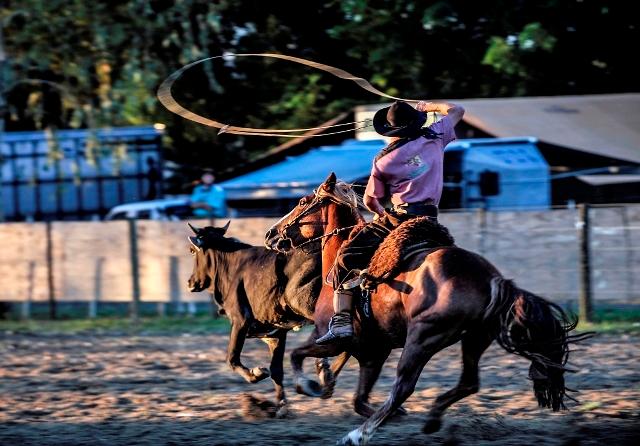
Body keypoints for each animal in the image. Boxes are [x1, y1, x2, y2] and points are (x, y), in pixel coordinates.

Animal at [262, 173, 588, 446]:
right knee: (468, 382)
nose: (270, 234)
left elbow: (297, 355)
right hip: (474, 339)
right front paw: (326, 381)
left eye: (302, 202)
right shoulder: (372, 353)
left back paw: (358, 435)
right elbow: (357, 397)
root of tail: (491, 279)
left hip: (422, 339)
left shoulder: (329, 339)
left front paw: (307, 384)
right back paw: (431, 418)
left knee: (404, 386)